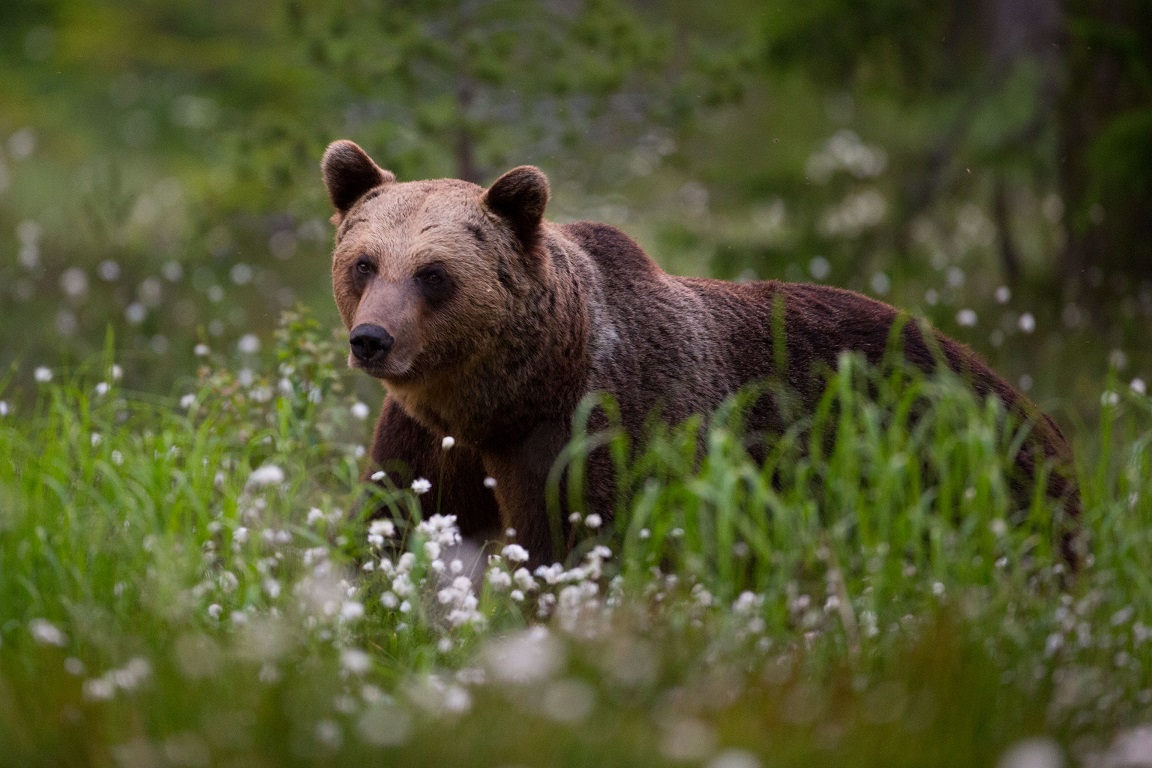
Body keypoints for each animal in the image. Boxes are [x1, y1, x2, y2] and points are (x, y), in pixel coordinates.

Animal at [317, 139, 1078, 571]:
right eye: (364, 262)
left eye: (433, 274)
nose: (373, 340)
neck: (508, 398)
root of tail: (1033, 408)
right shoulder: (431, 440)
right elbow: (392, 520)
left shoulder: (592, 435)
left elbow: (580, 546)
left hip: (953, 464)